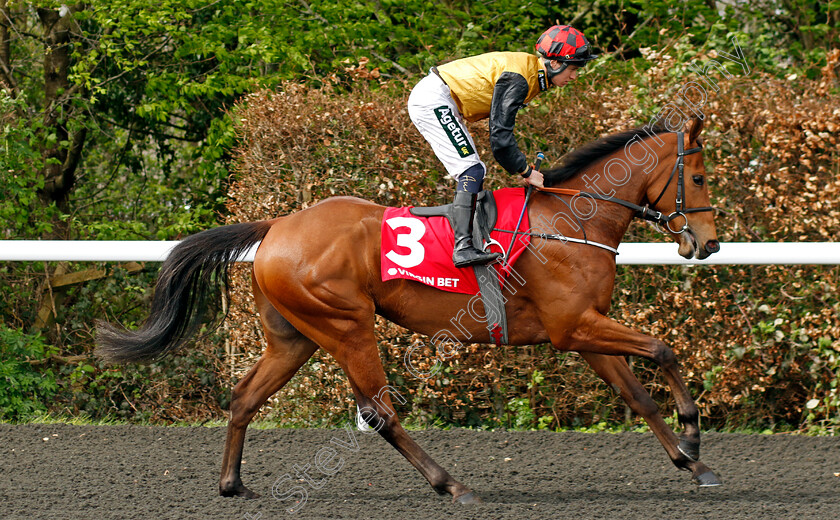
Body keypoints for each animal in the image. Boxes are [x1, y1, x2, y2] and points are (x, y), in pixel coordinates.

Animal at [97, 116, 720, 502]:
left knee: (245, 397)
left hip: (294, 336)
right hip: (346, 324)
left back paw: (232, 484)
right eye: (699, 175)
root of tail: (276, 225)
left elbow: (638, 395)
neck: (571, 222)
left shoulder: (585, 329)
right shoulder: (575, 327)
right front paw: (692, 435)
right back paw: (452, 484)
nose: (708, 244)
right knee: (378, 411)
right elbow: (663, 349)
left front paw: (695, 463)